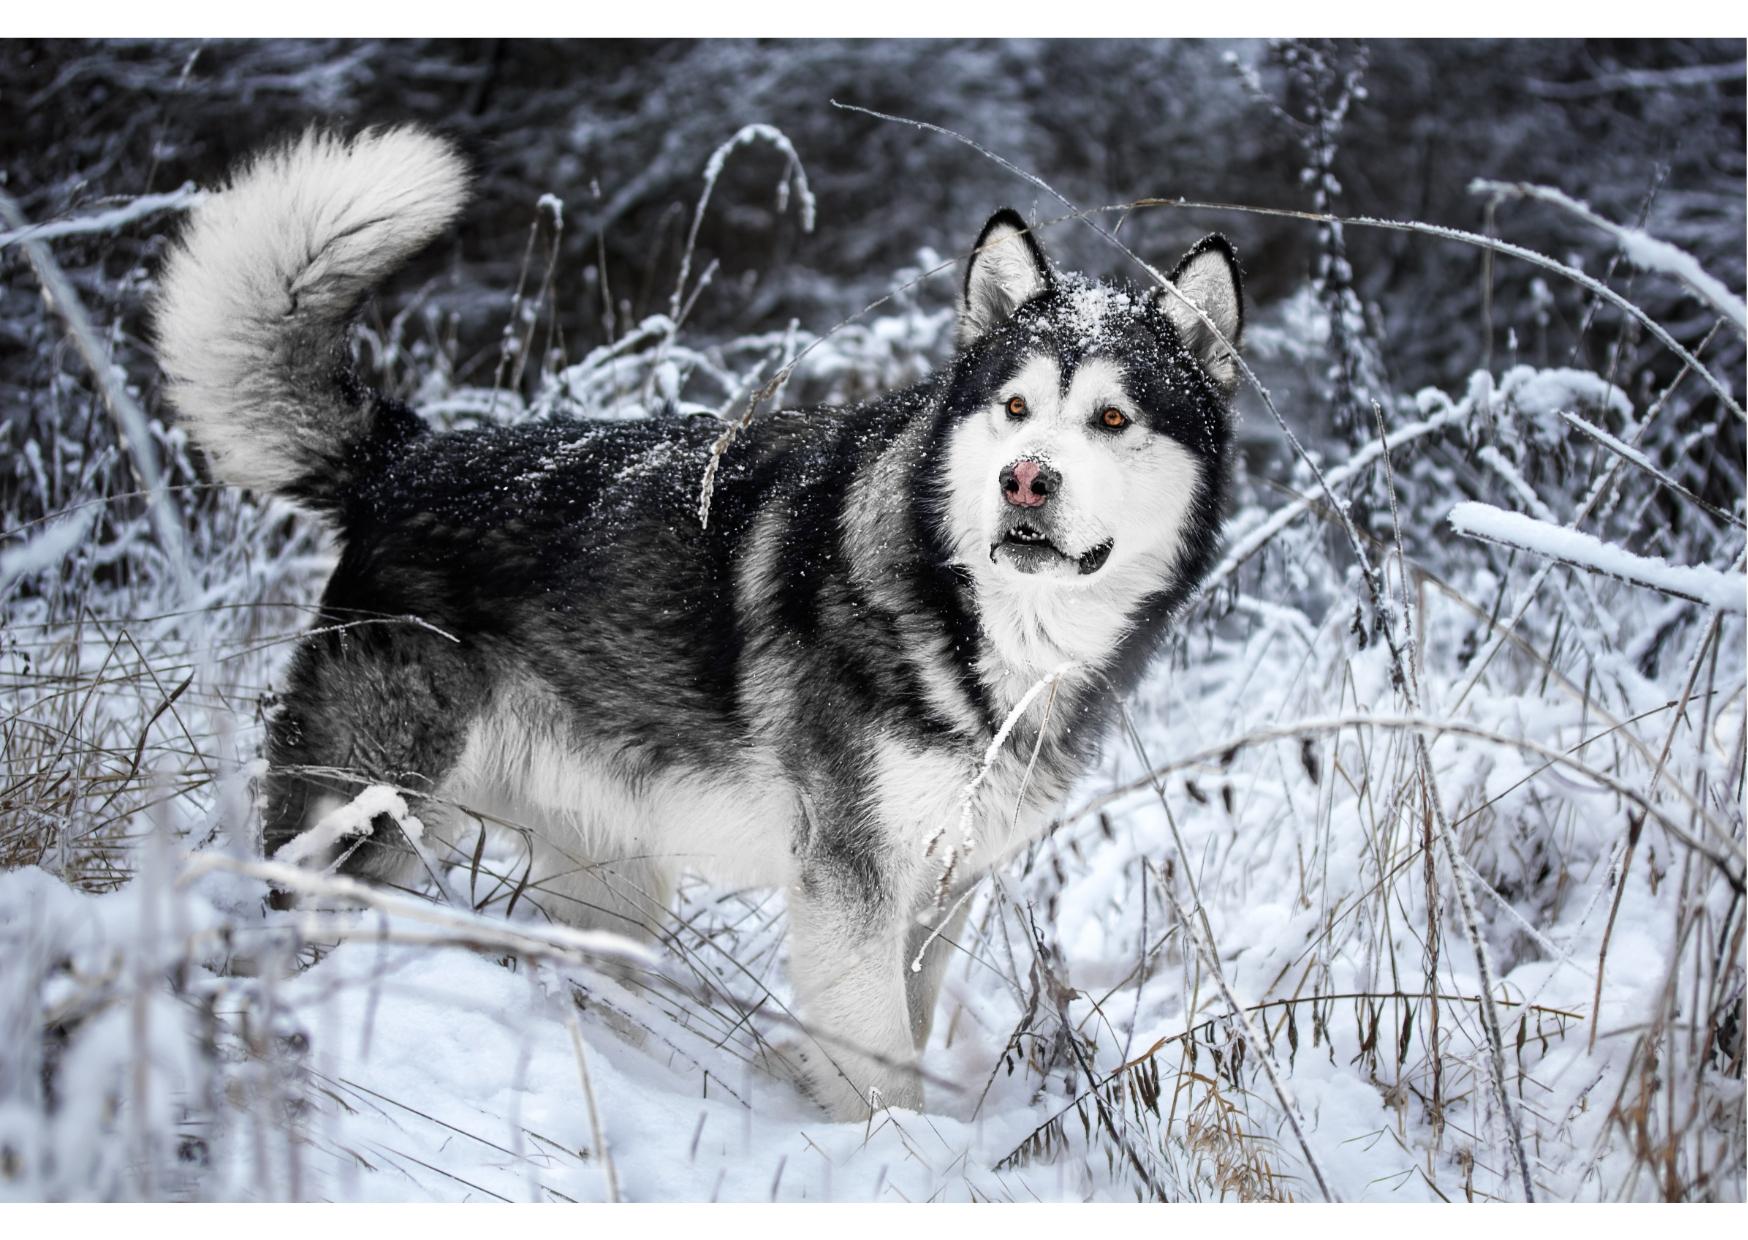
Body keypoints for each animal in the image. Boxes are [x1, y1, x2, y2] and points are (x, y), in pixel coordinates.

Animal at [153, 130, 1244, 1119]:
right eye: (1014, 408)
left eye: (1111, 419)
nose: (1024, 480)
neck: (987, 628)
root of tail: (404, 459)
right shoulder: (848, 886)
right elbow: (881, 1067)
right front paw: (901, 1161)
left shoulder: (943, 888)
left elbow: (915, 1022)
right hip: (367, 823)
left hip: (610, 884)